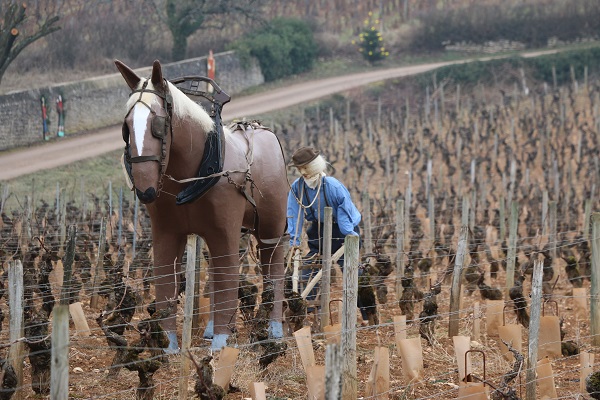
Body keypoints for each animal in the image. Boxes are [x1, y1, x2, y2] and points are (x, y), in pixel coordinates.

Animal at [116, 58, 290, 350]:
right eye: (126, 127)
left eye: (158, 125)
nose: (146, 190)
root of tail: (261, 130)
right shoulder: (167, 233)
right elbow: (166, 281)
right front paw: (169, 345)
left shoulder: (225, 231)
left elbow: (229, 278)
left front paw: (221, 343)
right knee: (216, 275)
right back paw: (210, 329)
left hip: (271, 224)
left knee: (272, 265)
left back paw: (274, 328)